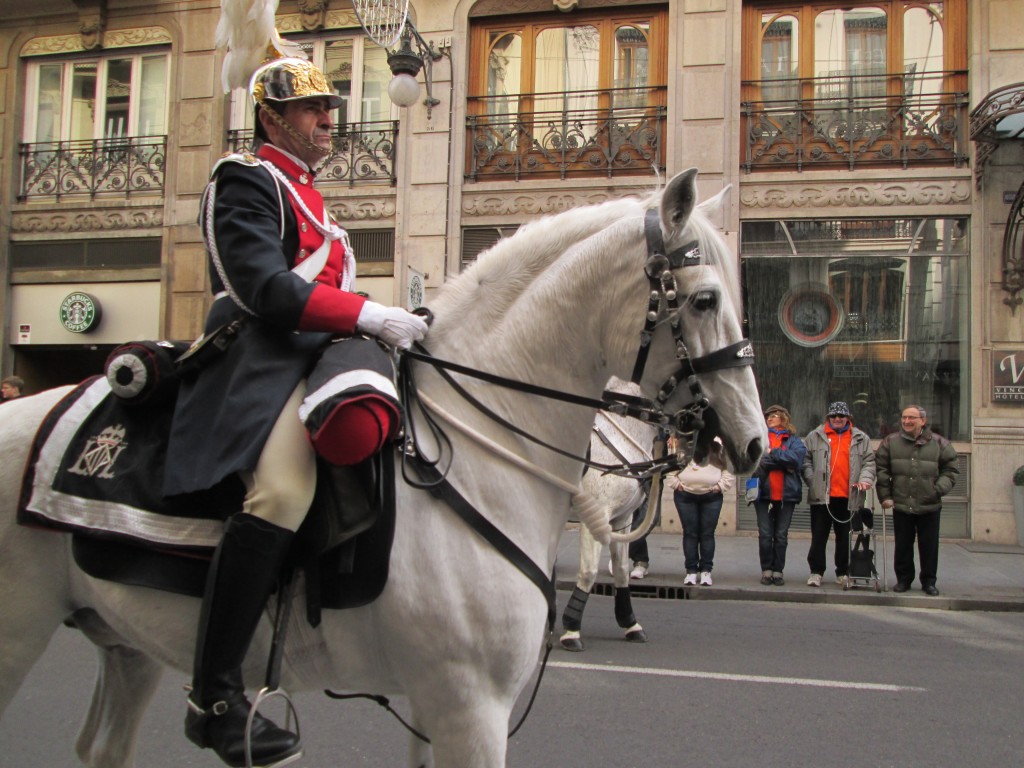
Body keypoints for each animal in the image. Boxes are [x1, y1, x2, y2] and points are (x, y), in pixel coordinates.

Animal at [561, 385, 655, 651]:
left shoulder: (623, 519)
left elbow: (622, 569)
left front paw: (630, 624)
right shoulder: (596, 517)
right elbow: (589, 571)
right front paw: (571, 630)